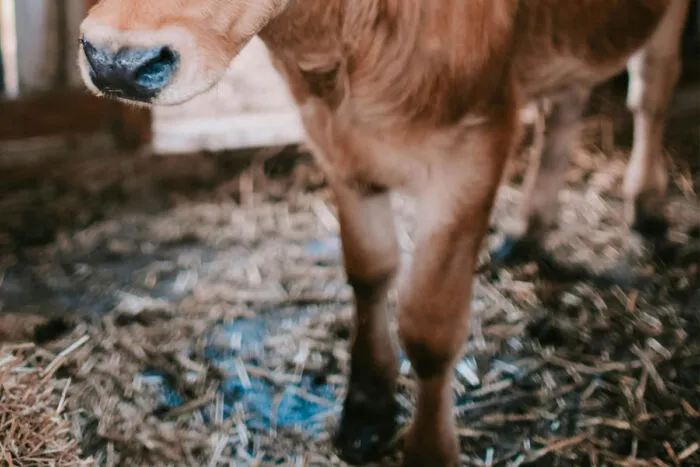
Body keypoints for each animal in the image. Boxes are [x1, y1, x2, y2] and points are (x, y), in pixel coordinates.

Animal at [77, 1, 690, 465]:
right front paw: (368, 405)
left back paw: (648, 207)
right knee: (568, 102)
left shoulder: (473, 150)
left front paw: (428, 449)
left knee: (651, 89)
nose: (116, 61)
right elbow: (369, 271)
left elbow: (430, 325)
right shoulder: (336, 143)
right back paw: (529, 229)